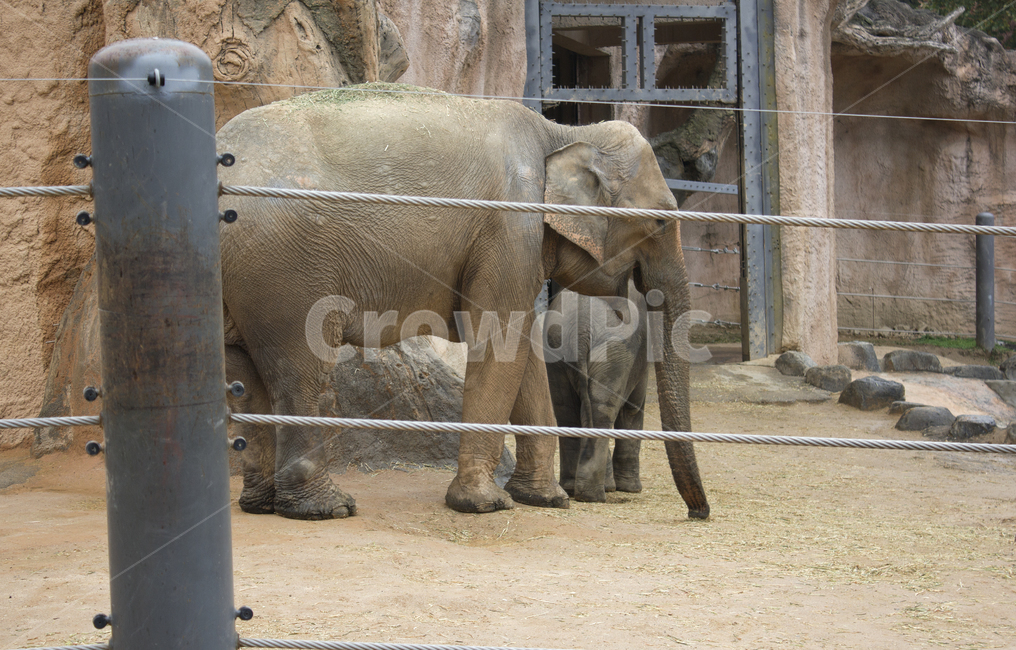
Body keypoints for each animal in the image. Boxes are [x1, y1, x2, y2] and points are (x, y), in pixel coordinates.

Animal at [545, 281, 648, 504]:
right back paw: (594, 494)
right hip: (613, 351)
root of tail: (581, 328)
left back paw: (572, 487)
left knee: (568, 412)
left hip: (556, 348)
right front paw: (631, 489)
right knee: (601, 412)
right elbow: (632, 409)